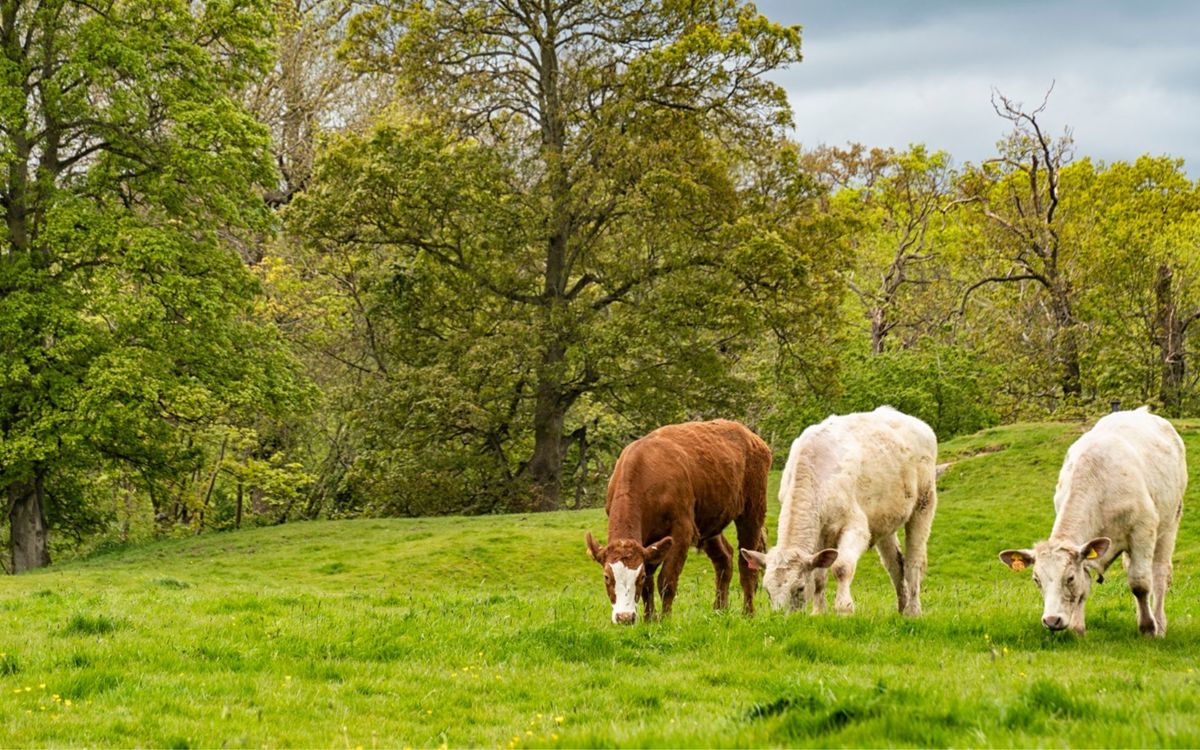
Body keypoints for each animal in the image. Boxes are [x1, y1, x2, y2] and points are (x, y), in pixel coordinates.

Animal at [585, 419, 771, 625]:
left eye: (638, 576)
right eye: (606, 577)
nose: (624, 617)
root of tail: (749, 435)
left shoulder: (682, 530)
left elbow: (666, 580)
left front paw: (665, 620)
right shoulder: (649, 544)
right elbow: (649, 585)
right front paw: (649, 619)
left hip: (753, 509)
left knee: (746, 565)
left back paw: (748, 614)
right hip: (709, 521)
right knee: (724, 558)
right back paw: (719, 611)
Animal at [741, 406, 937, 617]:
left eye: (799, 588)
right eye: (767, 590)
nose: (780, 617)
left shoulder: (856, 527)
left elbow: (841, 567)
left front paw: (844, 609)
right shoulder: (820, 535)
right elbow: (818, 576)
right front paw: (818, 612)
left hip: (924, 503)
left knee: (914, 563)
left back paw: (913, 611)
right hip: (885, 519)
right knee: (895, 564)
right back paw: (902, 608)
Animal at [999, 407, 1186, 637]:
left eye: (1069, 578)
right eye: (1036, 580)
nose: (1051, 620)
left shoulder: (1142, 530)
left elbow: (1140, 583)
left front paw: (1148, 628)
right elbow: (1085, 585)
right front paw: (1078, 628)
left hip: (1170, 523)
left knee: (1160, 573)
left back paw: (1159, 622)